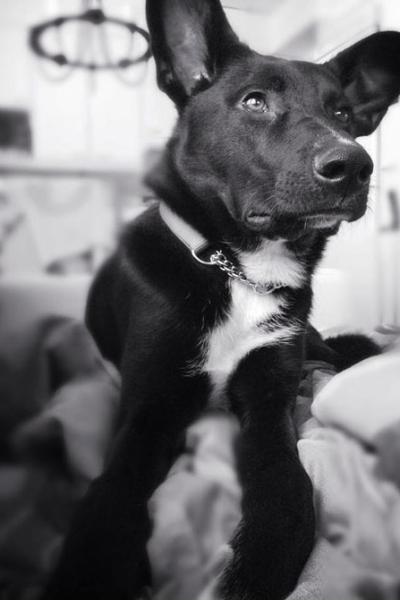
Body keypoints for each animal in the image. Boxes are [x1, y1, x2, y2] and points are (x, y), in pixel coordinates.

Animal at [42, 2, 400, 599]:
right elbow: (109, 500)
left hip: (311, 343)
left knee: (339, 353)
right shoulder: (147, 414)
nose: (353, 165)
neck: (238, 269)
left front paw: (254, 568)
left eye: (344, 112)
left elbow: (288, 494)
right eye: (255, 101)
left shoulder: (268, 400)